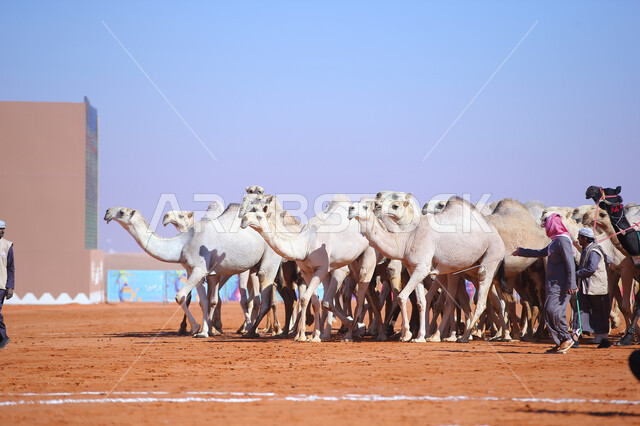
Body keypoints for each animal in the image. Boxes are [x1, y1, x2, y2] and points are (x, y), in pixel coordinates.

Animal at [240, 194, 383, 342]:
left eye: (259, 216)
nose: (243, 219)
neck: (306, 244)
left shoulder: (323, 268)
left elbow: (306, 299)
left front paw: (302, 335)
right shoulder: (307, 272)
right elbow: (314, 301)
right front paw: (314, 336)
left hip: (369, 253)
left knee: (363, 289)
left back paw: (362, 332)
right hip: (351, 262)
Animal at [349, 196, 506, 343]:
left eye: (365, 207)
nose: (350, 209)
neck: (407, 239)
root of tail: (498, 235)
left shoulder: (422, 268)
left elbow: (401, 297)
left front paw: (406, 335)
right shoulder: (413, 268)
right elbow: (420, 302)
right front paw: (420, 337)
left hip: (492, 253)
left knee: (481, 297)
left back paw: (465, 336)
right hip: (464, 268)